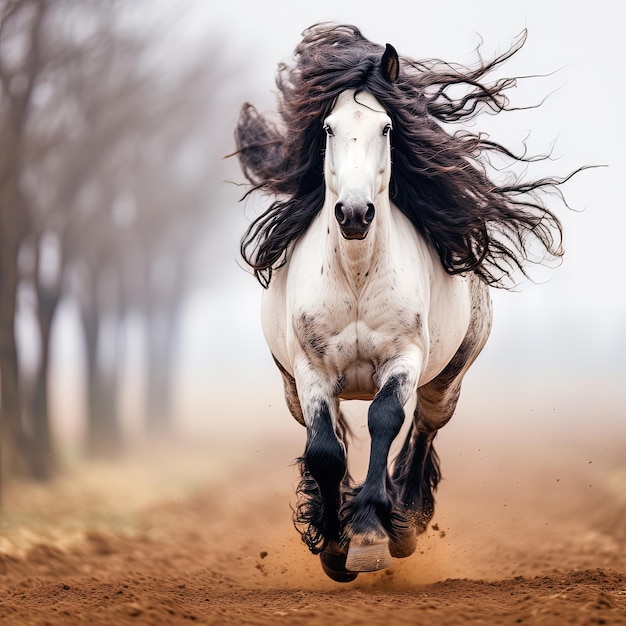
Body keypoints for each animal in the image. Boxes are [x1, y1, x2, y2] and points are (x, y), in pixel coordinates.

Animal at [233, 24, 576, 580]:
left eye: (387, 128)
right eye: (327, 128)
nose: (354, 213)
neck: (355, 275)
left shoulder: (405, 358)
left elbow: (386, 420)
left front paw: (372, 535)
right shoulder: (310, 369)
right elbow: (325, 451)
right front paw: (335, 549)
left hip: (447, 379)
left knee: (424, 429)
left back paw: (408, 520)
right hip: (291, 389)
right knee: (329, 435)